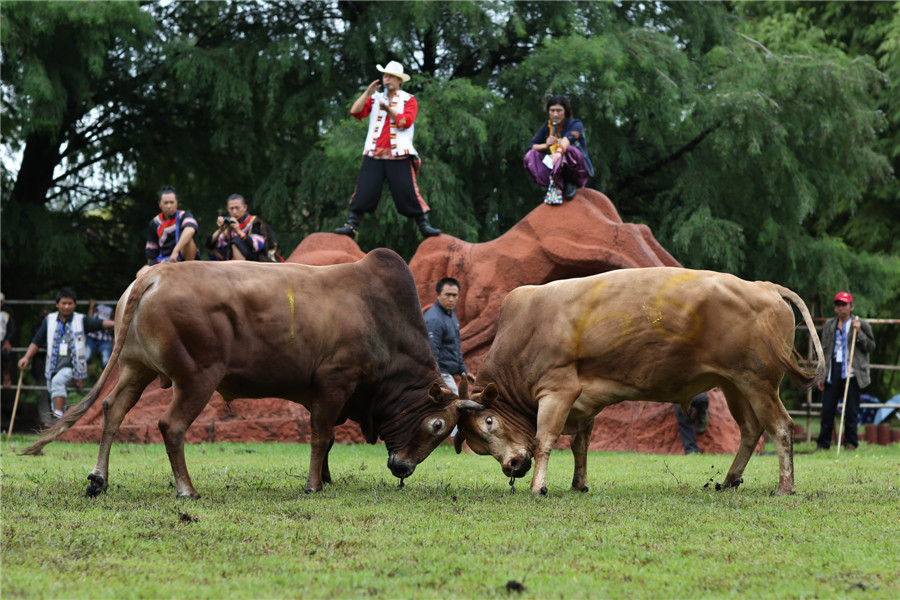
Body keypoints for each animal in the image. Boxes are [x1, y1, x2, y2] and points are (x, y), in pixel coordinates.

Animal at [24, 248, 482, 496]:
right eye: (438, 425)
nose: (403, 468)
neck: (379, 317)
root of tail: (153, 275)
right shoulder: (334, 383)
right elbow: (322, 436)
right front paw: (314, 485)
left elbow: (328, 440)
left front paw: (326, 478)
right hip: (197, 378)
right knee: (171, 426)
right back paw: (187, 489)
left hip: (136, 369)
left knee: (113, 413)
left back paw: (98, 480)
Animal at [454, 268, 828, 496]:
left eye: (489, 422)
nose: (512, 466)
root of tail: (763, 286)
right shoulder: (583, 402)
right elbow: (580, 444)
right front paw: (578, 484)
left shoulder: (558, 390)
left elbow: (544, 439)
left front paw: (538, 487)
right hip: (735, 384)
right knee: (751, 429)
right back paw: (729, 479)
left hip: (758, 383)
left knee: (781, 427)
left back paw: (785, 486)